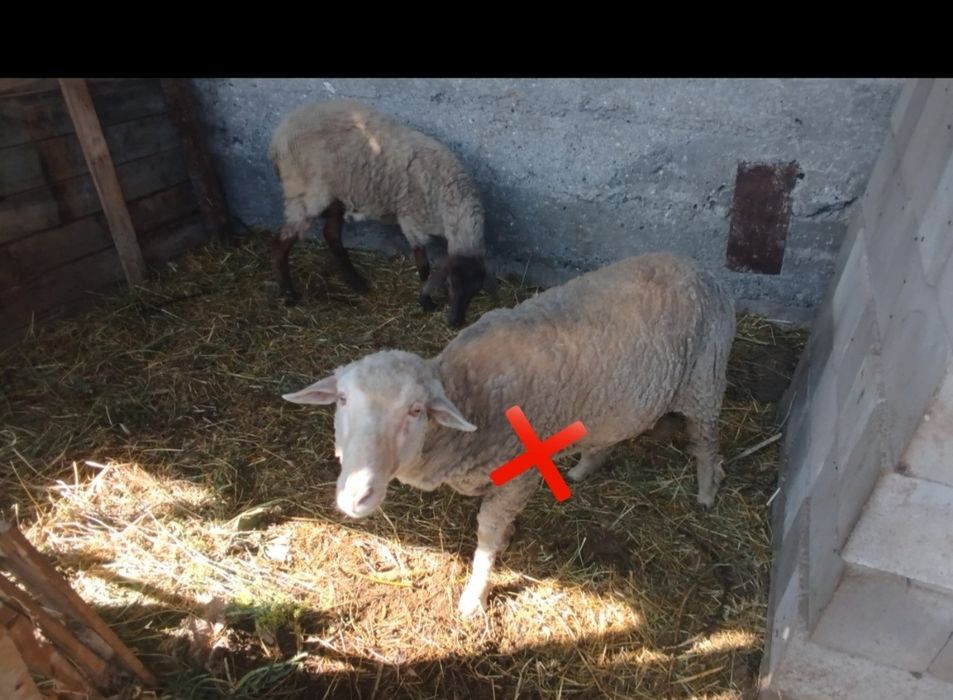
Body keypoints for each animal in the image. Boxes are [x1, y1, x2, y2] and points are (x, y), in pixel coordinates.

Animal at [268, 99, 491, 327]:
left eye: (475, 291)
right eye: (450, 284)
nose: (456, 322)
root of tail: (281, 133)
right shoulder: (411, 222)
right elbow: (423, 265)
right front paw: (426, 301)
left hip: (337, 194)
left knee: (331, 234)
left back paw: (356, 282)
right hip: (304, 194)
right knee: (279, 243)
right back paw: (288, 294)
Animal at [281, 252, 736, 617]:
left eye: (415, 411)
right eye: (342, 399)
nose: (356, 495)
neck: (471, 391)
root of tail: (698, 266)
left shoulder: (519, 474)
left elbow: (487, 532)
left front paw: (475, 596)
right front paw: (508, 539)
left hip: (705, 380)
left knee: (707, 443)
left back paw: (707, 491)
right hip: (616, 400)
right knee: (607, 438)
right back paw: (583, 468)